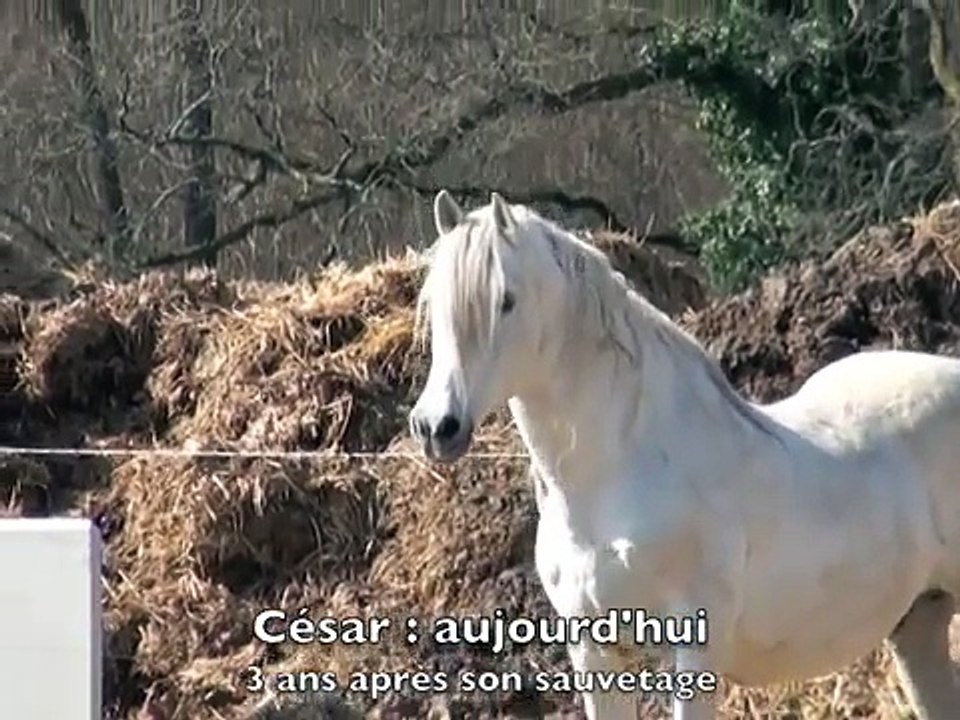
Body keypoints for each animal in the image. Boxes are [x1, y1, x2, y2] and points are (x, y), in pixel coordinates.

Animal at [408, 189, 960, 720]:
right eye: (432, 302)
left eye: (506, 300)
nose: (437, 427)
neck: (618, 477)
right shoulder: (595, 651)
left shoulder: (694, 653)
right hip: (919, 622)